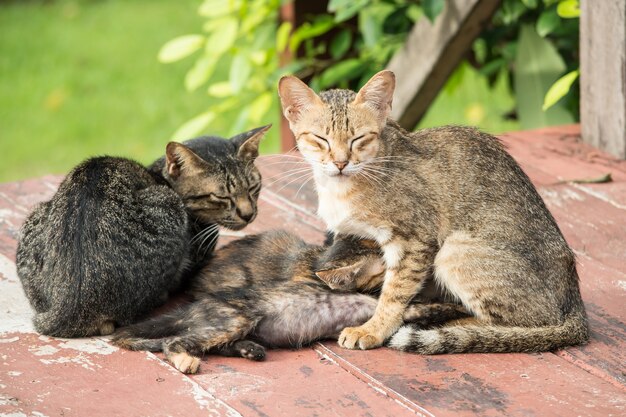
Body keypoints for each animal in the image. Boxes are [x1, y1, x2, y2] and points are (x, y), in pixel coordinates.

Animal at [112, 231, 466, 374]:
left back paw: (250, 350)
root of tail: (193, 306)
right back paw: (186, 360)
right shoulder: (378, 309)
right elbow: (418, 307)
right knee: (173, 341)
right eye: (384, 261)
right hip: (234, 319)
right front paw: (457, 306)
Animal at [276, 70, 588, 352]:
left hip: (453, 251)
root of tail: (575, 304)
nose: (340, 163)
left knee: (524, 323)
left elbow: (393, 293)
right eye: (320, 139)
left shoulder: (413, 240)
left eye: (359, 139)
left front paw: (373, 329)